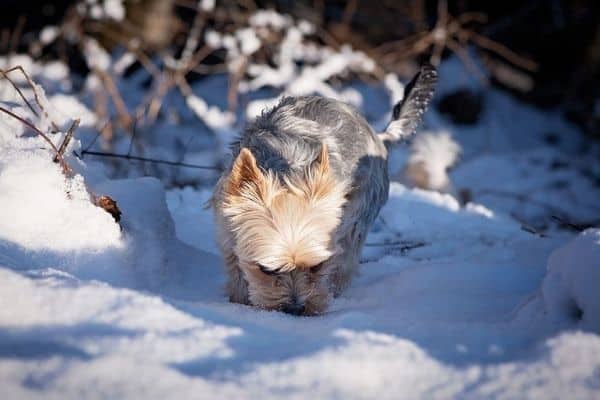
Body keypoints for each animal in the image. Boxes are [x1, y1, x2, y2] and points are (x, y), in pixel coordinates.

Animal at [211, 65, 436, 316]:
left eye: (317, 266)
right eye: (267, 269)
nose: (296, 307)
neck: (284, 176)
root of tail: (379, 137)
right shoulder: (227, 229)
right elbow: (235, 268)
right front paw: (239, 300)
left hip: (359, 214)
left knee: (348, 256)